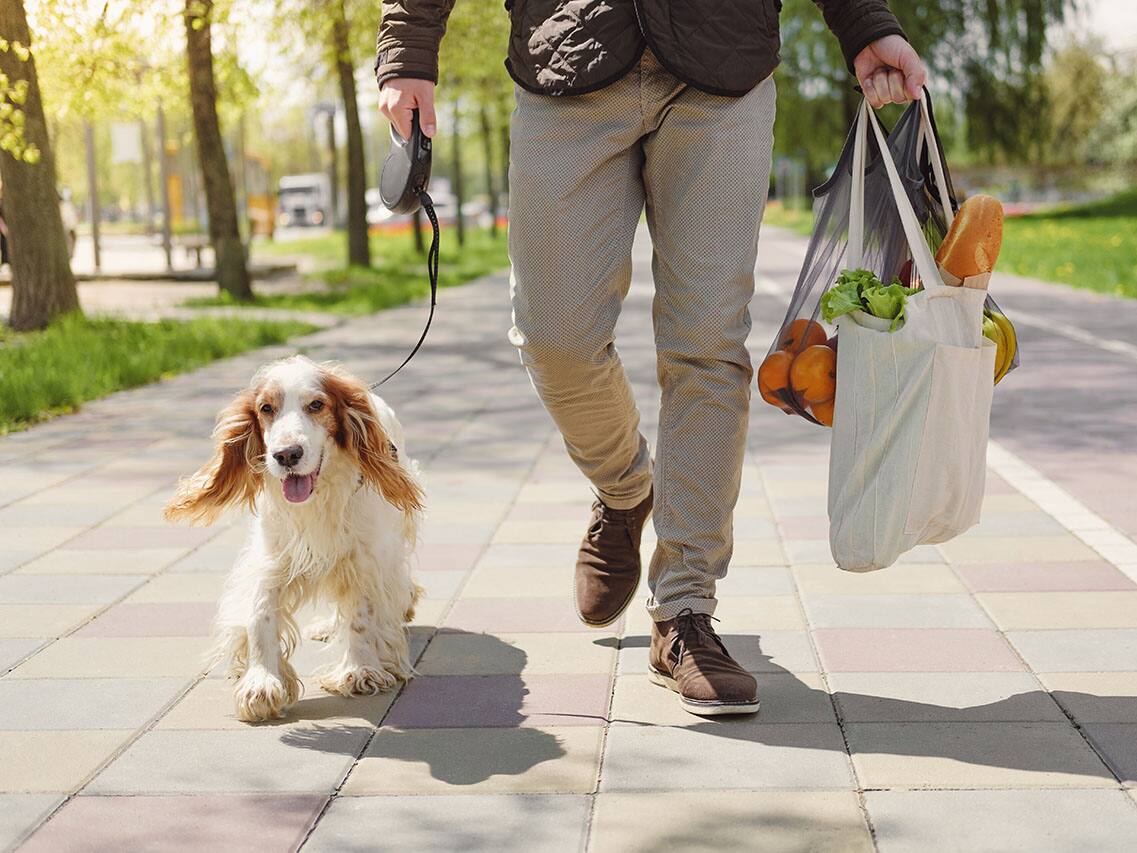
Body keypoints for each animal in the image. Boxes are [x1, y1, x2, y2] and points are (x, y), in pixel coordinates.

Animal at [164, 357, 422, 723]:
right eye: (265, 408)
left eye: (316, 405)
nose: (287, 454)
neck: (317, 499)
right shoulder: (272, 561)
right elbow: (260, 616)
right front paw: (261, 682)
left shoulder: (364, 559)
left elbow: (361, 615)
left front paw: (358, 670)